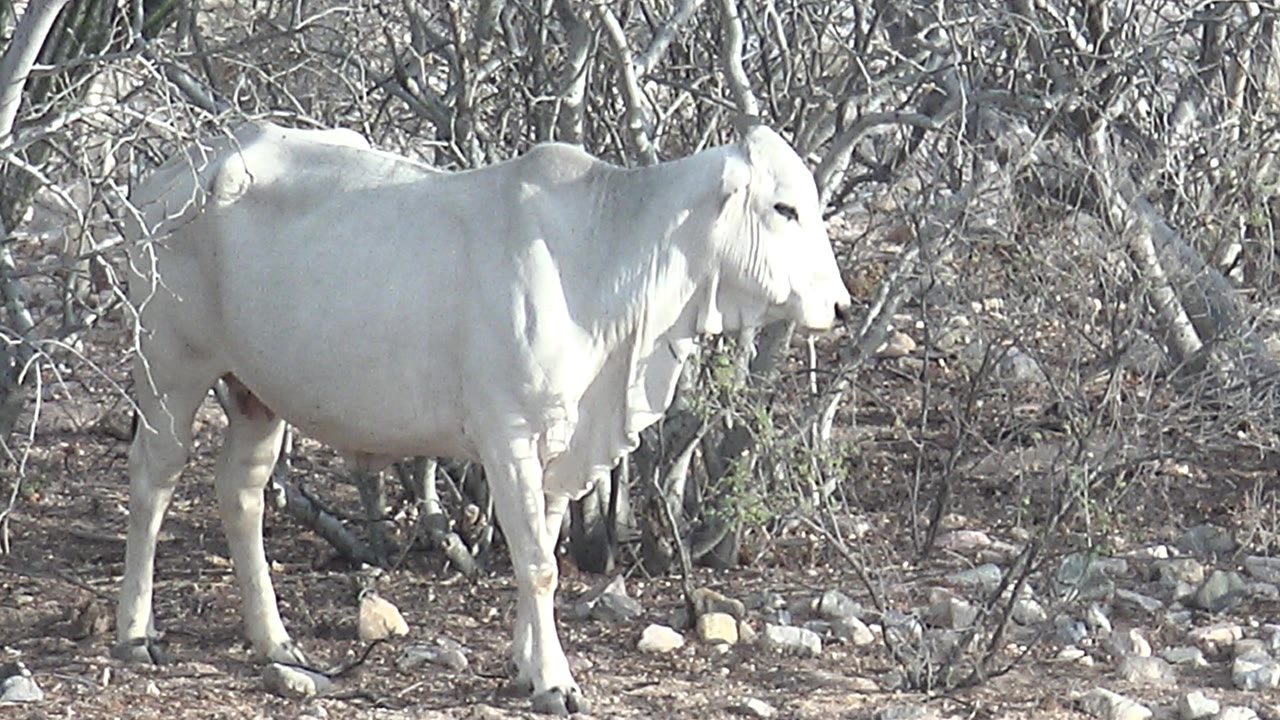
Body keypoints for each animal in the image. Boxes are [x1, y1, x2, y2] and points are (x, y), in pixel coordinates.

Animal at [113, 121, 852, 715]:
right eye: (784, 207)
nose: (841, 305)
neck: (604, 259)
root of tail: (174, 172)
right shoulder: (510, 437)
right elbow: (538, 563)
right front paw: (555, 680)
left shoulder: (558, 446)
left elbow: (540, 550)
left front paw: (526, 667)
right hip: (170, 368)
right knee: (153, 481)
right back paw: (136, 634)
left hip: (255, 394)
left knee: (241, 494)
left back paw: (275, 640)